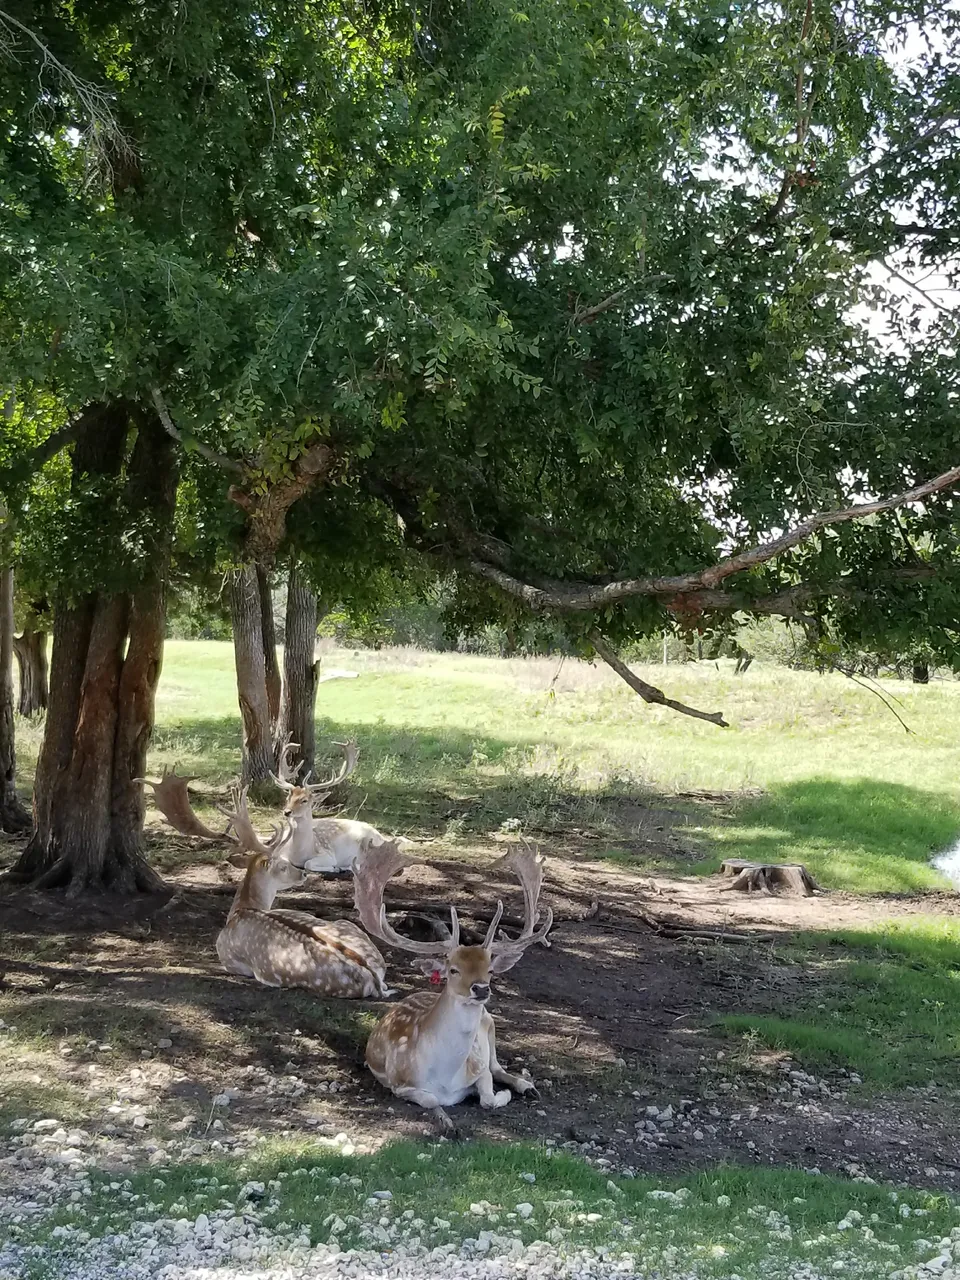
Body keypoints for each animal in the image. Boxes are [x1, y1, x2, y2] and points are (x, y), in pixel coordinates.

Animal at [216, 788, 396, 998]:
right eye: (283, 865)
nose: (302, 874)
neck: (239, 911)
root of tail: (373, 978)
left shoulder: (228, 959)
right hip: (349, 927)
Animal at [353, 839, 552, 1131]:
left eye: (490, 970)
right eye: (453, 969)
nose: (481, 989)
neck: (445, 1077)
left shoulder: (479, 1067)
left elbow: (487, 1094)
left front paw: (503, 1093)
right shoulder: (399, 1083)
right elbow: (431, 1099)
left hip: (490, 1025)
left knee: (498, 1067)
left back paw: (527, 1085)